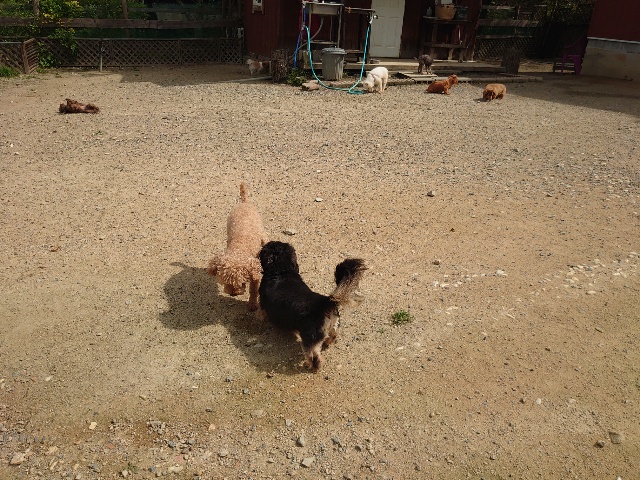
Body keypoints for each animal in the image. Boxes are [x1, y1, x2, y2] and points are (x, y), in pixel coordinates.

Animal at [208, 183, 268, 311]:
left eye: (241, 283)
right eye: (225, 282)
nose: (233, 294)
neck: (239, 248)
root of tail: (244, 202)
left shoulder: (255, 274)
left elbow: (254, 290)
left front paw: (252, 305)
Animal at [258, 241, 367, 372]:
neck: (281, 271)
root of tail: (324, 303)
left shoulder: (262, 304)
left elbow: (261, 313)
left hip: (309, 339)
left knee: (314, 356)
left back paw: (311, 366)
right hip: (333, 326)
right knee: (333, 335)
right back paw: (327, 342)